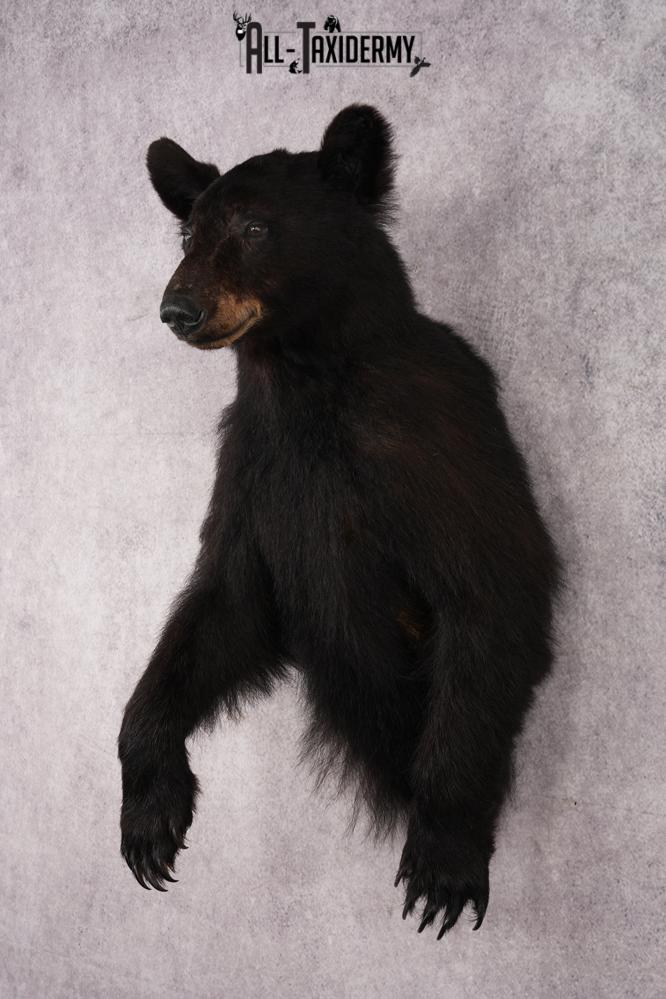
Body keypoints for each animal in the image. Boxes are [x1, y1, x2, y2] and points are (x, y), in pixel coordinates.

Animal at [118, 104, 562, 939]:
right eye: (189, 235)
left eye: (256, 227)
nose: (177, 309)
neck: (303, 380)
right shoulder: (253, 469)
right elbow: (227, 604)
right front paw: (150, 811)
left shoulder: (433, 437)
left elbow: (490, 587)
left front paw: (443, 855)